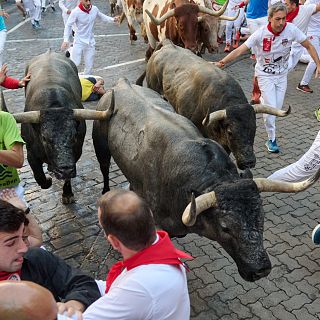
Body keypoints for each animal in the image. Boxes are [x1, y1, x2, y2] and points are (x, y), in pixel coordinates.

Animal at [92, 79, 318, 282]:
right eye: (225, 227)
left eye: (261, 217)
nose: (260, 270)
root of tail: (121, 83)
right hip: (101, 147)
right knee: (104, 170)